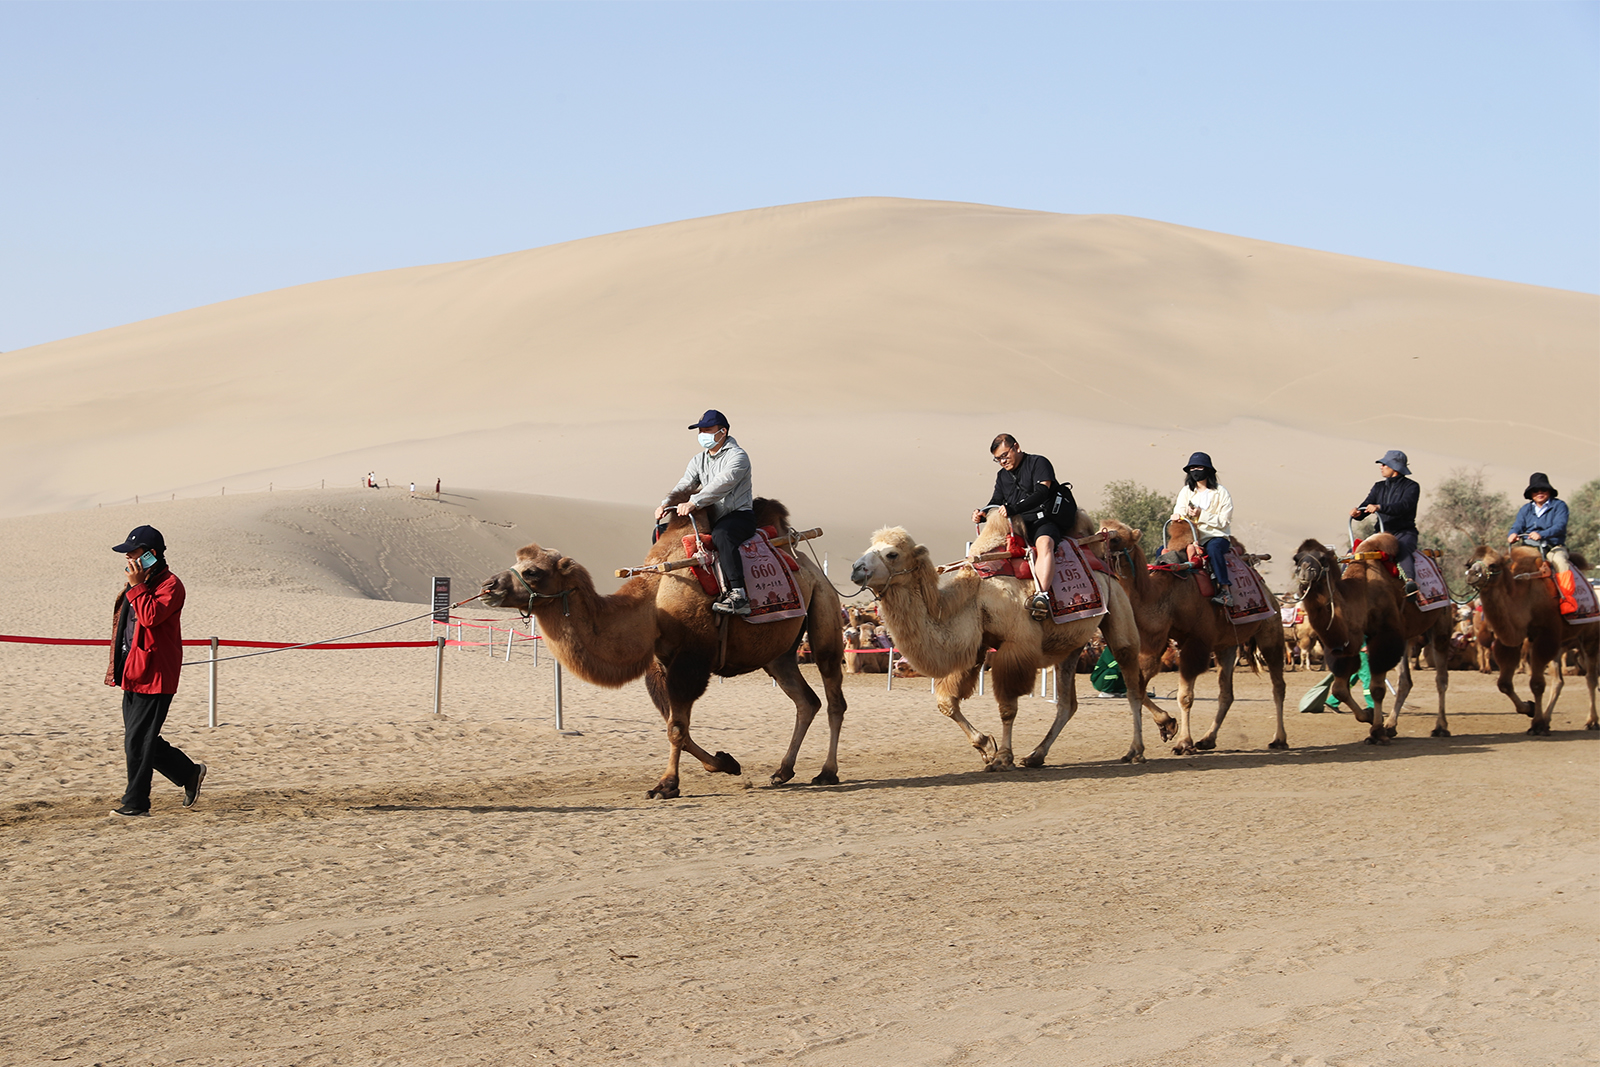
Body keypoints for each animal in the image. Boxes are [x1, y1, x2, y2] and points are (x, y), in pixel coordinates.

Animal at [476, 495, 851, 796]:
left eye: (533, 571)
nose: (488, 586)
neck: (652, 603)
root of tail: (808, 563)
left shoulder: (691, 661)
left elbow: (676, 728)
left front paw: (666, 785)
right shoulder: (660, 664)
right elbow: (677, 726)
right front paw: (725, 762)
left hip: (825, 615)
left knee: (833, 696)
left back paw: (827, 772)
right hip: (779, 653)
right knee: (806, 701)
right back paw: (782, 771)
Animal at [851, 518, 1152, 767]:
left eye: (892, 553)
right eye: (870, 547)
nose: (856, 568)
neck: (974, 599)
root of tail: (1101, 559)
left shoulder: (1016, 645)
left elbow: (1007, 707)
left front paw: (1003, 756)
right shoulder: (976, 647)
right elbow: (947, 702)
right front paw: (986, 746)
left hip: (1118, 609)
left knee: (1132, 684)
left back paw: (1135, 750)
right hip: (1070, 644)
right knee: (1067, 704)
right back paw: (1036, 755)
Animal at [1100, 518, 1286, 755]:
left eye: (1115, 538)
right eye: (1100, 530)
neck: (1165, 596)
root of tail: (1268, 590)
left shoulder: (1195, 643)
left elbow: (1185, 697)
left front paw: (1183, 742)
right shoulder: (1156, 643)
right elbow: (1138, 688)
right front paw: (1167, 725)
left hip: (1271, 629)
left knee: (1278, 685)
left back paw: (1279, 739)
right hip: (1226, 645)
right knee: (1226, 693)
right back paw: (1208, 739)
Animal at [1280, 534, 1459, 742]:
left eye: (1322, 558)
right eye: (1297, 558)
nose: (1304, 571)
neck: (1362, 593)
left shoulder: (1383, 636)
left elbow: (1377, 689)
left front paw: (1376, 732)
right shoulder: (1348, 643)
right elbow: (1339, 689)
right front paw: (1368, 716)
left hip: (1441, 621)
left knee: (1441, 678)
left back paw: (1440, 727)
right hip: (1405, 636)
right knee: (1405, 681)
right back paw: (1391, 725)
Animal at [1465, 547, 1593, 729]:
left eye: (1493, 564)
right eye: (1469, 563)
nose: (1472, 574)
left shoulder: (1545, 637)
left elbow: (1537, 684)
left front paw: (1537, 724)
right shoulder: (1510, 641)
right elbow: (1504, 684)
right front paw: (1530, 709)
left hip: (1589, 636)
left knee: (1591, 678)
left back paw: (1591, 721)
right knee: (1561, 680)